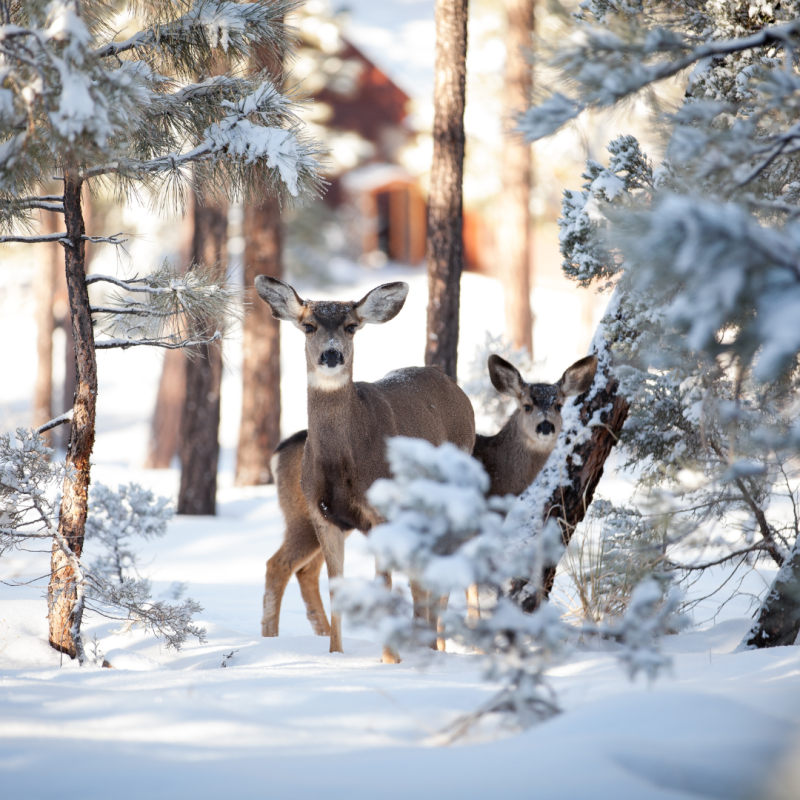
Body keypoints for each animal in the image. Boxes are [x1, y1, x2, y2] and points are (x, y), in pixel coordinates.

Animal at [255, 276, 476, 664]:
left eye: (351, 326)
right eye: (308, 325)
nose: (331, 355)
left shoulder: (381, 514)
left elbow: (384, 584)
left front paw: (389, 659)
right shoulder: (322, 513)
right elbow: (337, 586)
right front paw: (335, 654)